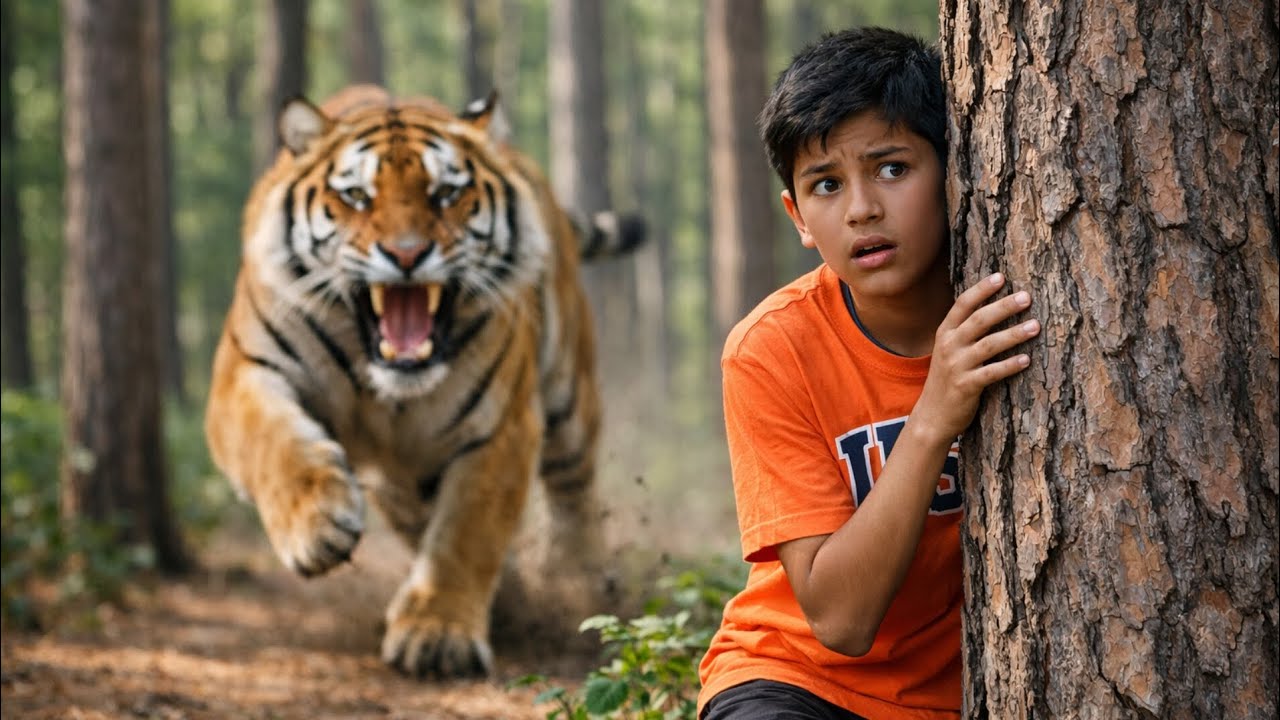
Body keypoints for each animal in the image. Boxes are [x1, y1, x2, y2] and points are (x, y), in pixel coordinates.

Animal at [204, 84, 643, 678]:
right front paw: (317, 527)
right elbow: (273, 445)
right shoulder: (245, 371)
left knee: (574, 492)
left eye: (446, 193)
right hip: (404, 478)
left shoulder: (501, 426)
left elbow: (466, 532)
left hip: (568, 398)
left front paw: (438, 636)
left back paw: (580, 583)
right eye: (357, 196)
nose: (407, 255)